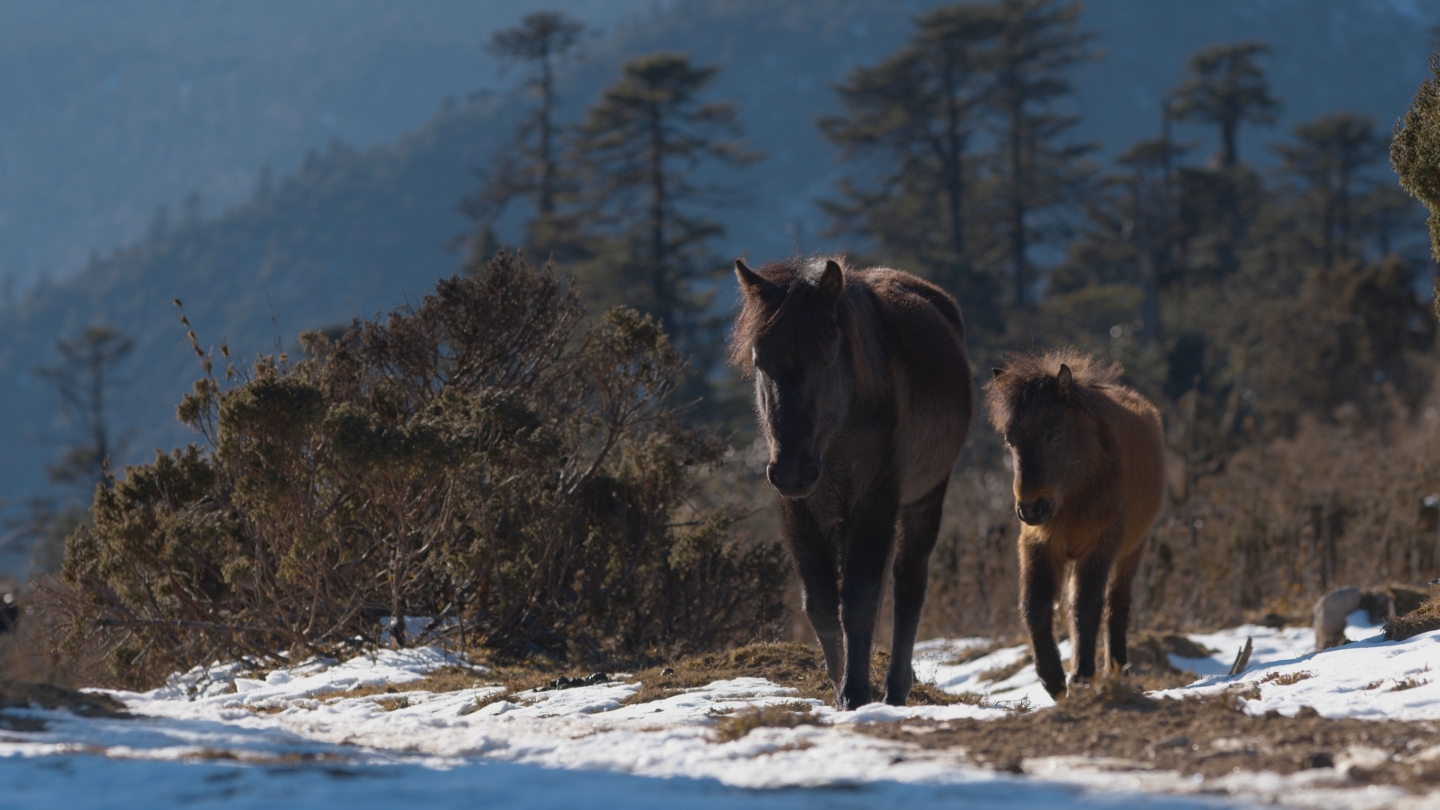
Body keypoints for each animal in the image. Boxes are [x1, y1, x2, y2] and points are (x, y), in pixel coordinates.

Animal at [725, 255, 973, 703]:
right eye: (759, 361)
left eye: (826, 357)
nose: (791, 470)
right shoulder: (799, 511)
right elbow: (822, 604)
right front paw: (840, 688)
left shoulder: (875, 502)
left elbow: (859, 600)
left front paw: (856, 691)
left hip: (925, 496)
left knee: (908, 584)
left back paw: (896, 687)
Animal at [984, 350, 1163, 697]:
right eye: (1010, 441)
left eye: (1054, 436)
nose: (1032, 509)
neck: (1074, 495)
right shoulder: (1040, 546)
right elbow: (1035, 607)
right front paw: (1052, 678)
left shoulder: (1099, 547)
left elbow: (1086, 606)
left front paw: (1082, 675)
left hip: (1132, 551)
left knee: (1117, 603)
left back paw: (1118, 669)